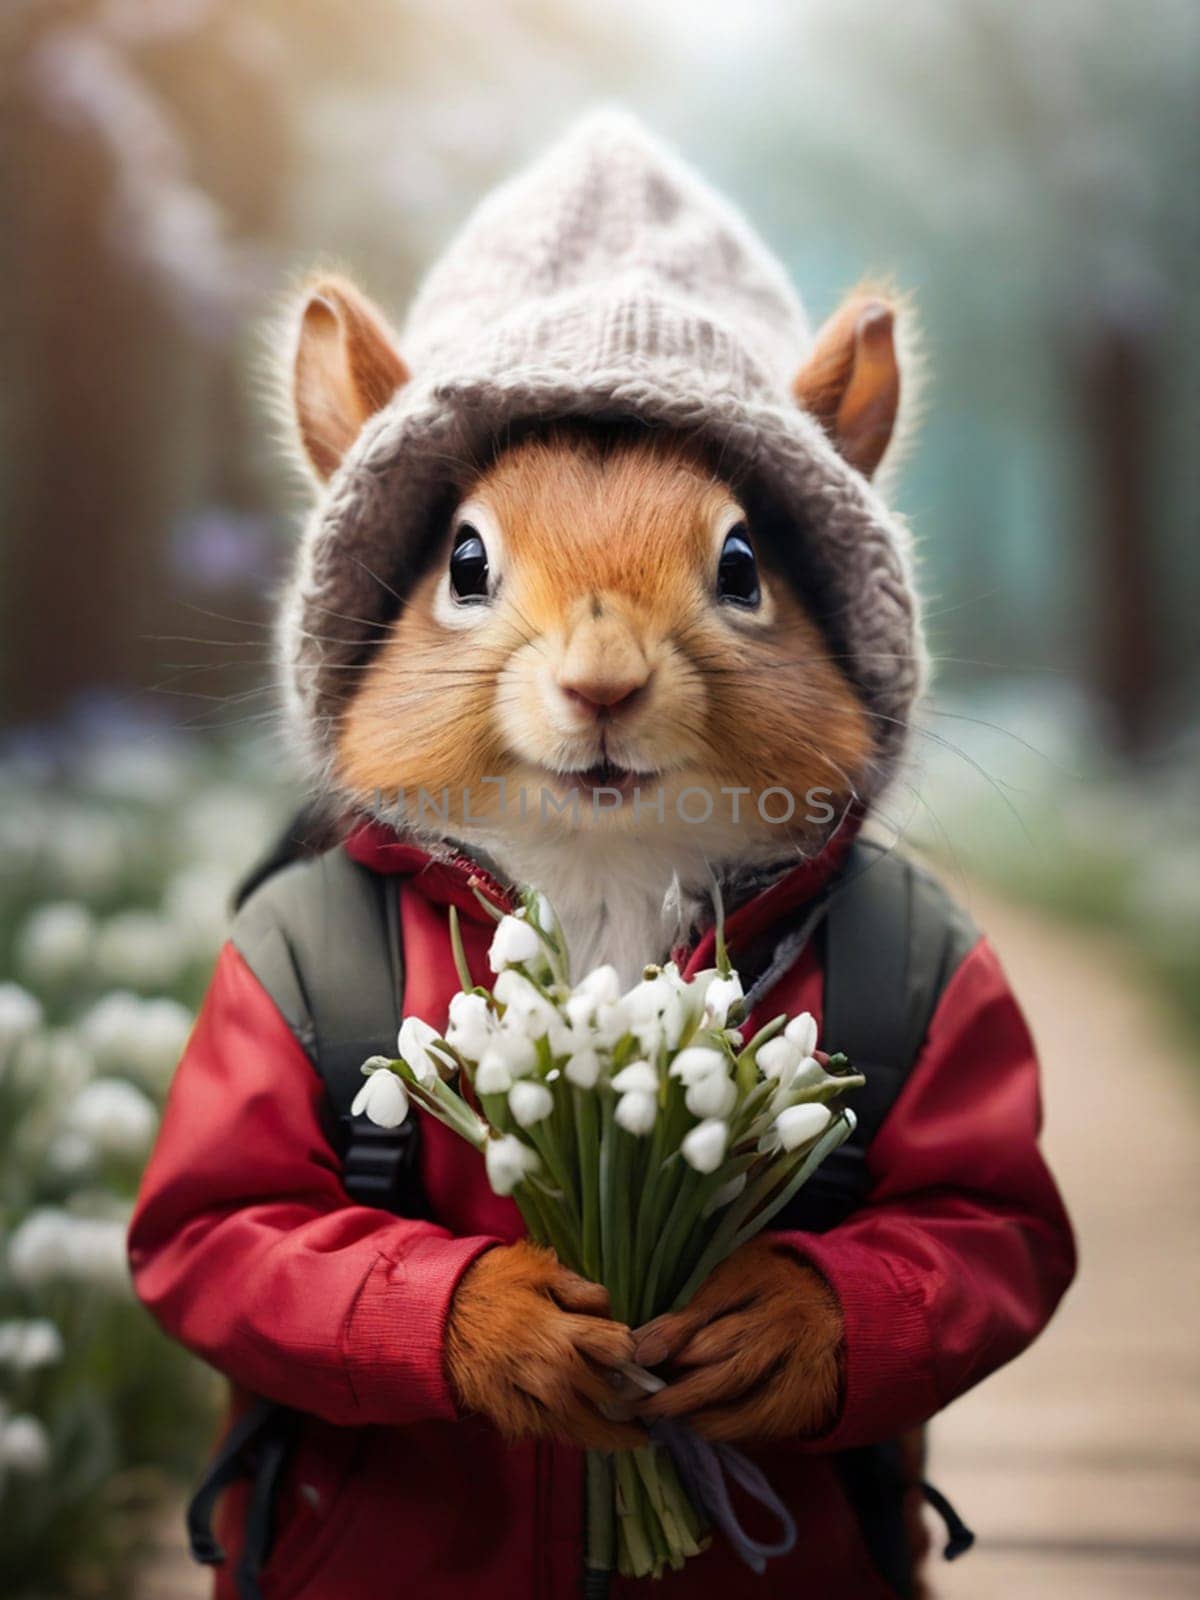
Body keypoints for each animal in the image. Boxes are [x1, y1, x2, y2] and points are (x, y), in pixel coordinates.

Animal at [127, 116, 1075, 1600]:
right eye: (461, 559)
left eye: (745, 562)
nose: (605, 683)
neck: (605, 871)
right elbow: (230, 1221)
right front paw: (520, 1330)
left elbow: (985, 1220)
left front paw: (775, 1328)